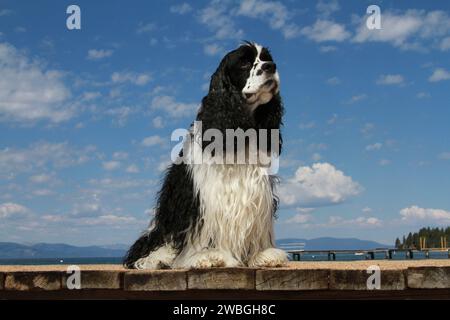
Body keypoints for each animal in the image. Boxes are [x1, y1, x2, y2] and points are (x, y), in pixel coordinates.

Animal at [123, 41, 286, 268]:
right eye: (244, 63)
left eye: (266, 58)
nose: (271, 66)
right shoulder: (205, 195)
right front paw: (209, 255)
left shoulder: (257, 191)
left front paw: (262, 254)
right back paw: (160, 258)